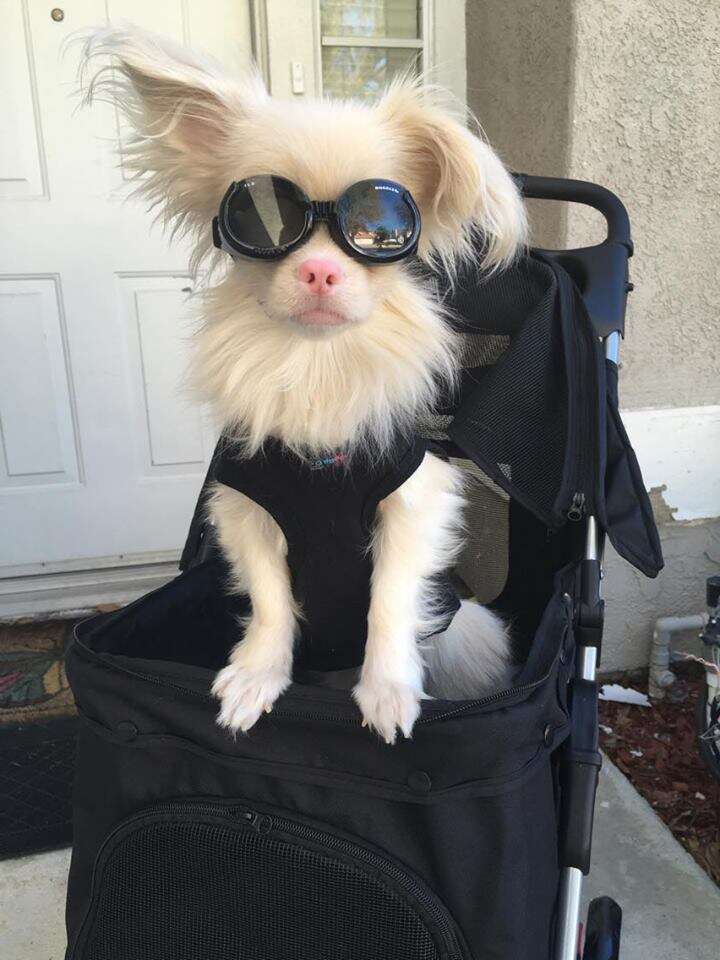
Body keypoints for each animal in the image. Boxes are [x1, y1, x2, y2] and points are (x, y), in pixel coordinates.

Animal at [81, 24, 528, 744]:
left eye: (382, 230)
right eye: (258, 218)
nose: (321, 271)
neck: (316, 364)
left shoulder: (414, 505)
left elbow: (389, 600)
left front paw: (387, 691)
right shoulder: (247, 513)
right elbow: (270, 601)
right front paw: (256, 677)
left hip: (471, 638)